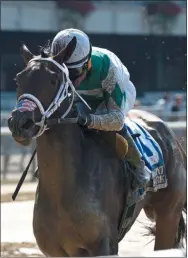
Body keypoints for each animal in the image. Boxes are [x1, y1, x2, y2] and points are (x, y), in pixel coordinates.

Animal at [8, 37, 186, 256]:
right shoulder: (59, 251)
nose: (20, 123)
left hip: (168, 215)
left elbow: (115, 116)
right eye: (19, 79)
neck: (62, 192)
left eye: (53, 80)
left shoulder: (104, 245)